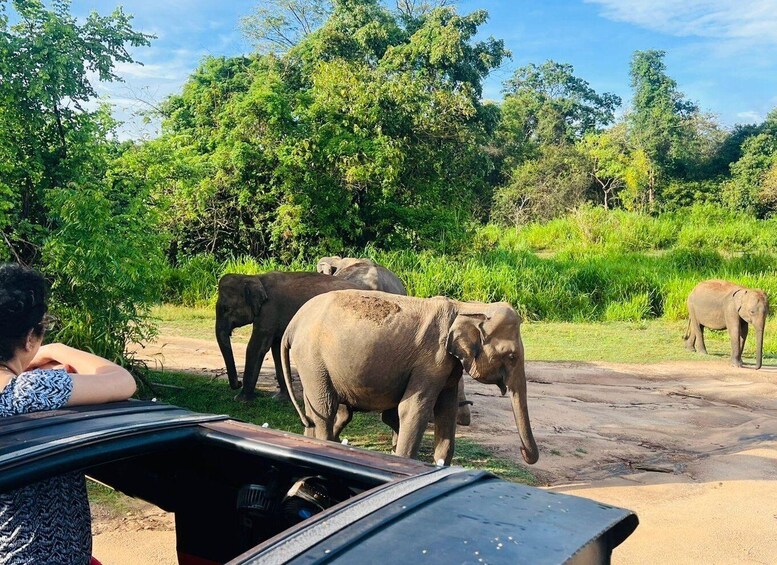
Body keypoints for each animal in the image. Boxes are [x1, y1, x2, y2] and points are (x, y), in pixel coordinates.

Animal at [215, 272, 366, 401]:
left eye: (226, 308)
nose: (238, 383)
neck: (254, 277)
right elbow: (277, 349)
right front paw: (280, 398)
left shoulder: (269, 312)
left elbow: (256, 347)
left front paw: (240, 399)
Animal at [280, 290, 539, 466]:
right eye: (512, 356)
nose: (523, 452)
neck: (465, 307)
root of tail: (292, 324)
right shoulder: (431, 360)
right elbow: (414, 409)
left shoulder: (448, 364)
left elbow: (446, 411)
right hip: (312, 358)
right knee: (325, 409)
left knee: (314, 412)